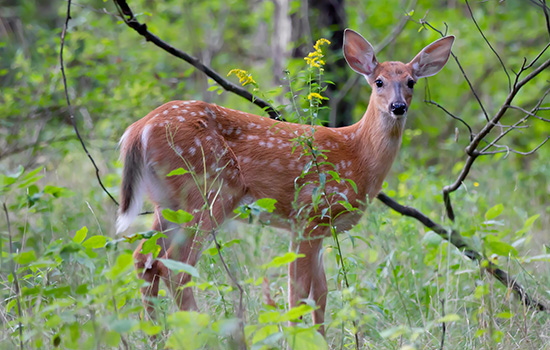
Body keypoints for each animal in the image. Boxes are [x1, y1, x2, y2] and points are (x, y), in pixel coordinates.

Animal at [115, 30, 452, 336]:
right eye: (378, 81)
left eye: (411, 82)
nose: (398, 107)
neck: (357, 154)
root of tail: (139, 129)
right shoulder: (308, 214)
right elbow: (298, 293)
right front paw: (293, 336)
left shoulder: (320, 228)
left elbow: (321, 294)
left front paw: (320, 339)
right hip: (210, 190)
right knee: (175, 266)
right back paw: (205, 332)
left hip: (168, 201)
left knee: (143, 258)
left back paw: (156, 334)